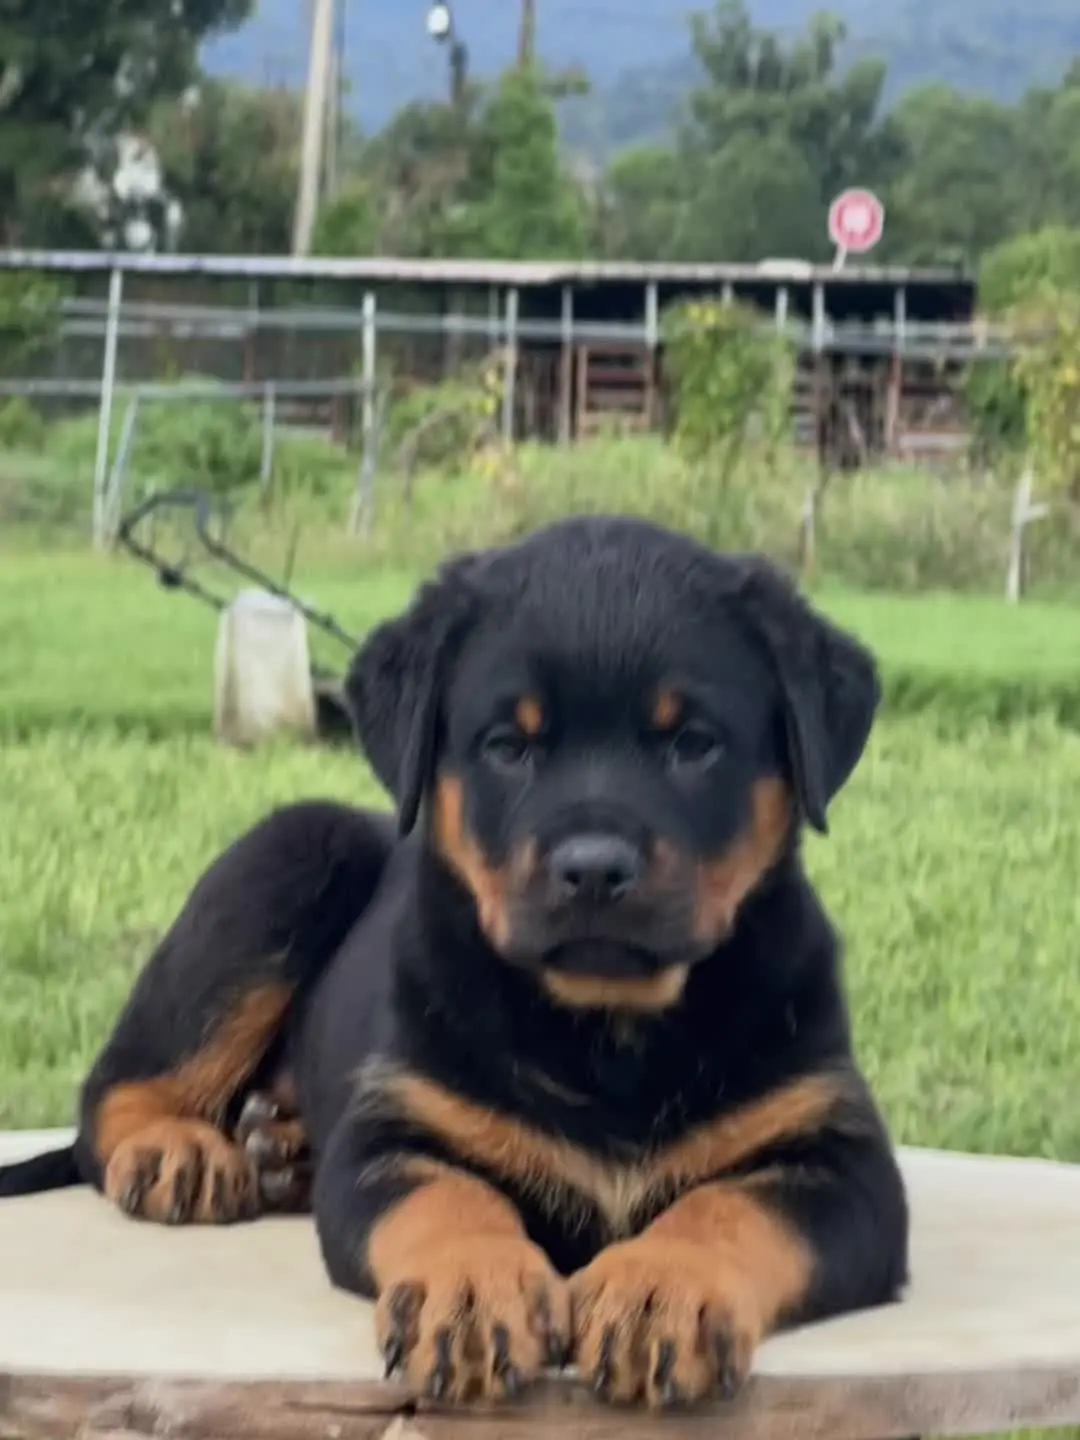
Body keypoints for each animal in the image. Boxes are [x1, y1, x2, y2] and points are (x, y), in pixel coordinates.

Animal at [0, 515, 908, 1409]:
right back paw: (180, 1153)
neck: (610, 1032)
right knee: (113, 1092)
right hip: (288, 856)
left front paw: (661, 1287)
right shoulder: (394, 1136)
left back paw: (281, 1152)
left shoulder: (843, 1161)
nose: (593, 869)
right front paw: (473, 1292)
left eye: (693, 743)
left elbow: (731, 1205)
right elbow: (448, 1198)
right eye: (508, 745)